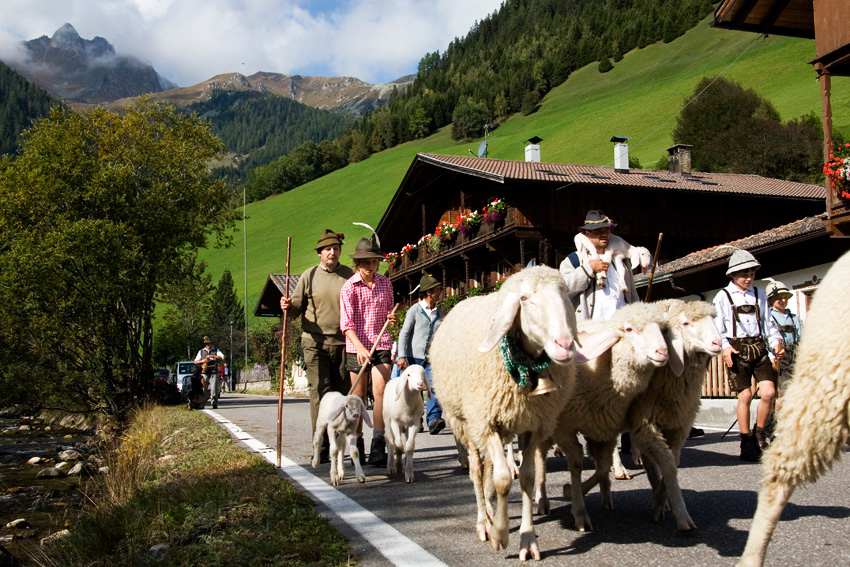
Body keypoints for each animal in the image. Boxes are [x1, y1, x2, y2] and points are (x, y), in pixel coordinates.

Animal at [430, 266, 608, 564]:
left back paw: (491, 509)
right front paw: (500, 535)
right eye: (524, 298)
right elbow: (503, 479)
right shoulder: (487, 422)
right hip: (467, 423)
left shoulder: (533, 425)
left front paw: (527, 539)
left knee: (489, 468)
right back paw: (483, 521)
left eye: (565, 293)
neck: (524, 364)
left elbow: (526, 477)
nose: (565, 344)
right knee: (477, 470)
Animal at [540, 302, 680, 532]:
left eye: (663, 330)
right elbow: (576, 463)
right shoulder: (564, 428)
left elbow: (603, 466)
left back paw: (607, 494)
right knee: (539, 457)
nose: (662, 352)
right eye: (629, 329)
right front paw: (578, 507)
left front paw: (579, 489)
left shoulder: (607, 427)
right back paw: (542, 499)